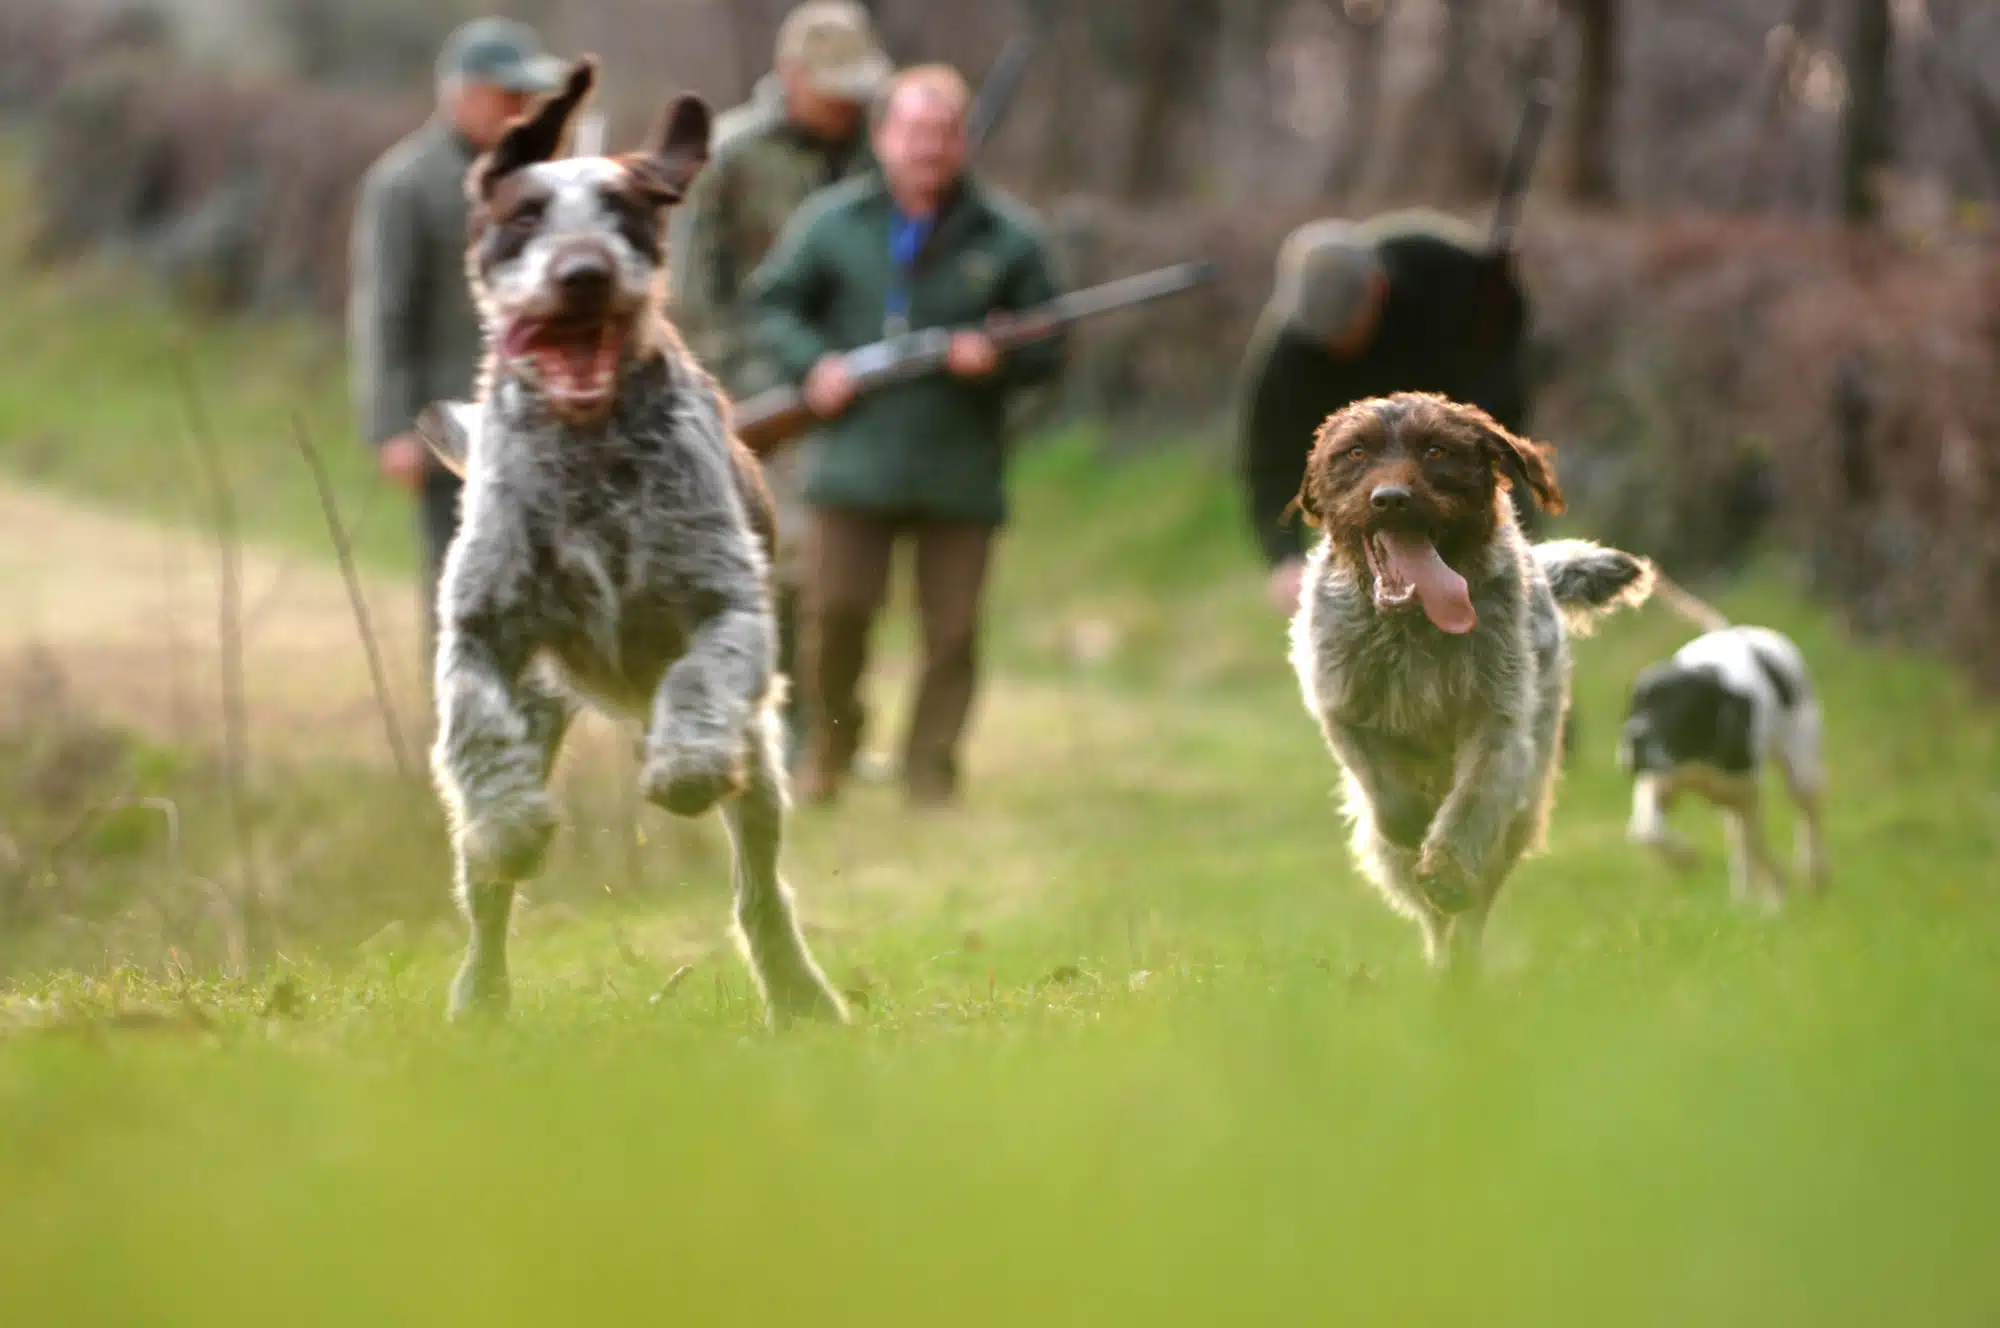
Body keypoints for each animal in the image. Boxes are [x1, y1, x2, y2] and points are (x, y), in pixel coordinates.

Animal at [1288, 392, 1648, 964]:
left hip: (1523, 804)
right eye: (1356, 452)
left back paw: (1462, 960)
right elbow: (1384, 787)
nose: (1390, 499)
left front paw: (1448, 868)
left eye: (1436, 450)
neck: (1412, 626)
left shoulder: (1498, 727)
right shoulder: (1341, 709)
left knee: (1477, 900)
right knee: (1426, 910)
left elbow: (1472, 801)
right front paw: (1412, 821)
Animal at [1624, 624, 1832, 912]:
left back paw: (1814, 873)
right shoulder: (1659, 785)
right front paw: (1686, 859)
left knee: (1808, 819)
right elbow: (1648, 830)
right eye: (1635, 706)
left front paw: (1766, 898)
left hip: (1802, 772)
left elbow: (1753, 849)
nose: (1632, 738)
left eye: (1674, 708)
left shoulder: (1747, 797)